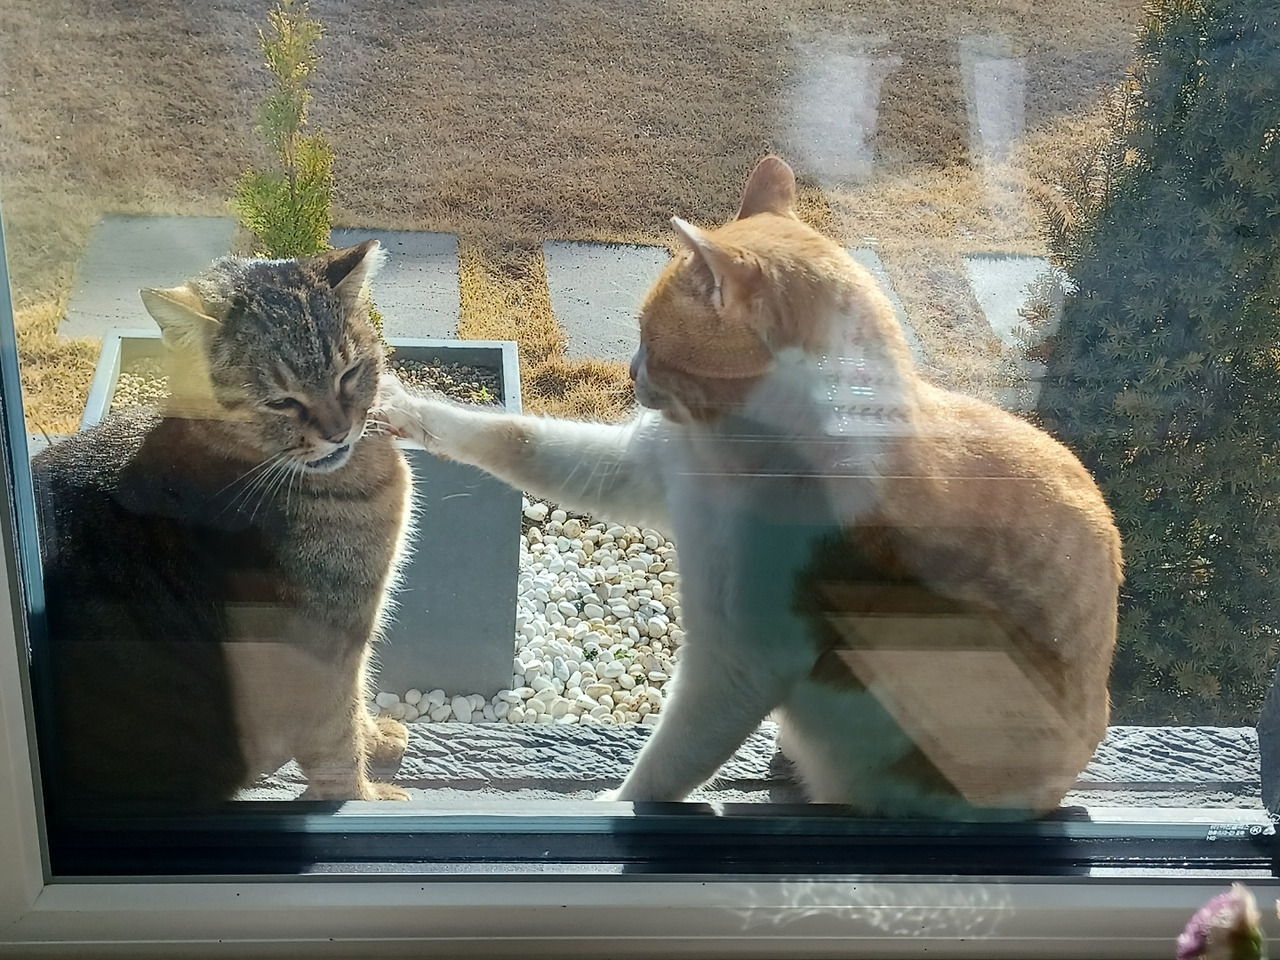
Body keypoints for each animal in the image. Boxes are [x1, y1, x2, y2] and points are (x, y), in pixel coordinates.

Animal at [33, 240, 413, 809]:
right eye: (282, 401)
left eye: (348, 374)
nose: (339, 432)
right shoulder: (318, 653)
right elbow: (337, 748)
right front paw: (364, 799)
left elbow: (358, 699)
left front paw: (375, 735)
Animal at [375, 156, 1123, 819]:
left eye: (650, 337)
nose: (630, 371)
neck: (733, 452)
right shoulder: (644, 469)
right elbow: (511, 437)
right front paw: (402, 405)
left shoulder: (740, 662)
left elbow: (671, 760)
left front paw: (613, 805)